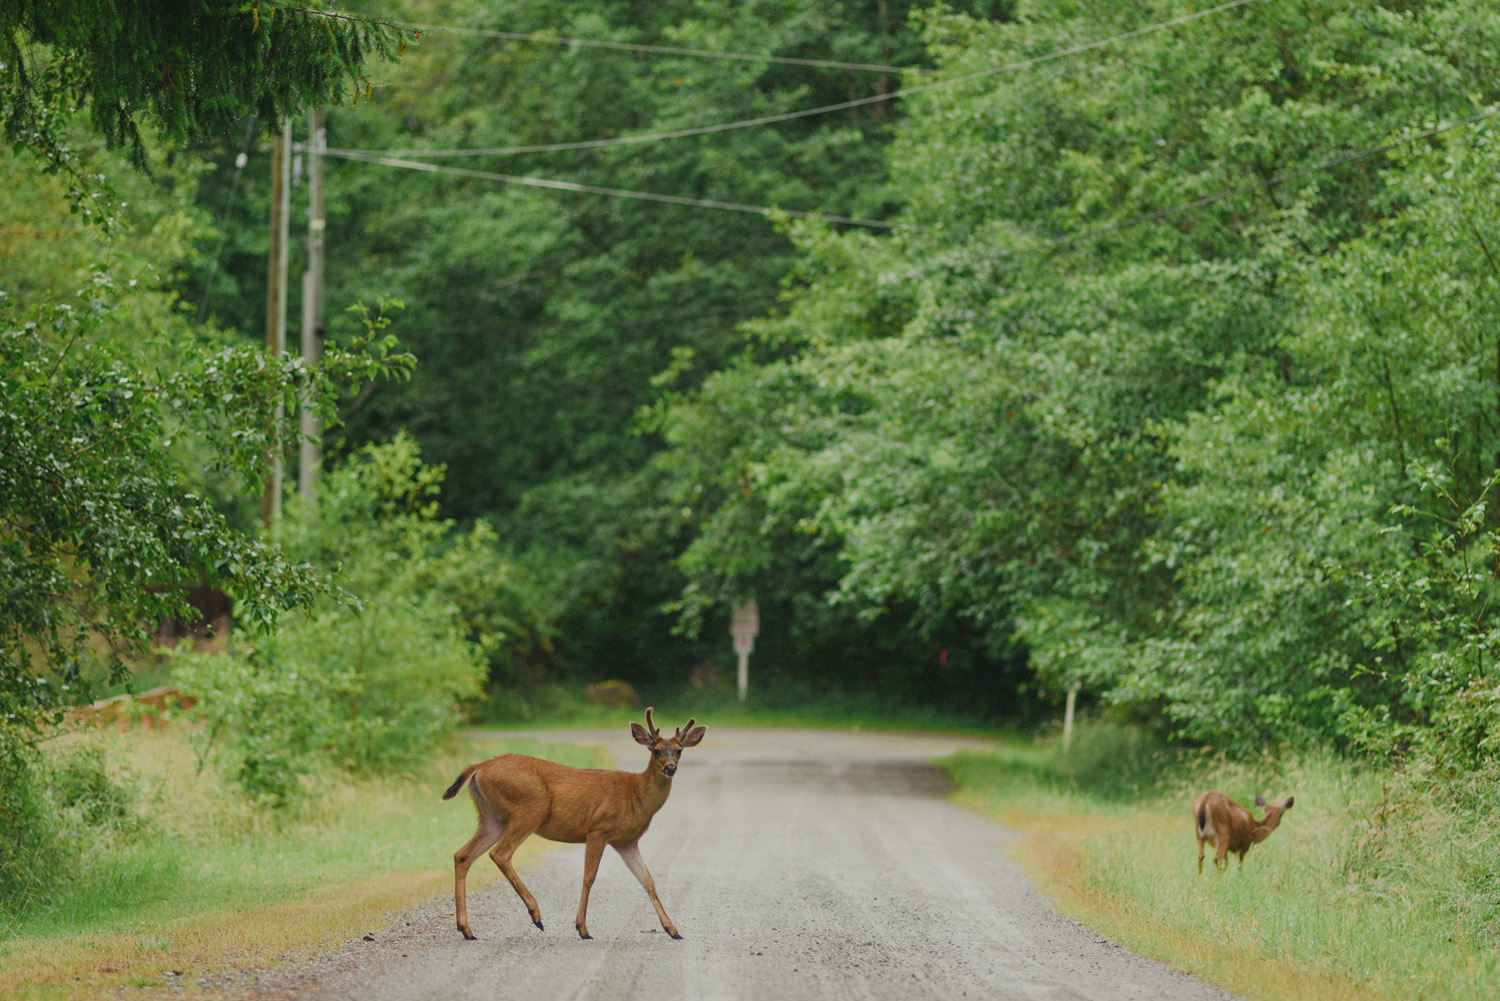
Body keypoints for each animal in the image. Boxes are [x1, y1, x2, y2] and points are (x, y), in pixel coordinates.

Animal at [438, 708, 708, 942]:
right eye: (656, 750)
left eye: (679, 750)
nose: (671, 768)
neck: (636, 794)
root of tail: (478, 768)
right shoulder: (598, 829)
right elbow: (589, 877)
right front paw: (582, 928)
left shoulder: (627, 842)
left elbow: (648, 881)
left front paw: (673, 930)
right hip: (530, 807)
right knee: (500, 853)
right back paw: (536, 915)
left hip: (492, 817)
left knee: (462, 855)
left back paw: (466, 929)